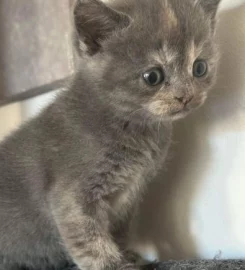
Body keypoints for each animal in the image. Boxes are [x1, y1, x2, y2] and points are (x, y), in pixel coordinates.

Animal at [0, 0, 220, 270]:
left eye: (199, 68)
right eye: (153, 76)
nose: (186, 97)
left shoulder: (130, 193)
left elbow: (118, 228)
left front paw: (127, 254)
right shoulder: (72, 193)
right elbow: (88, 237)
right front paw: (112, 264)